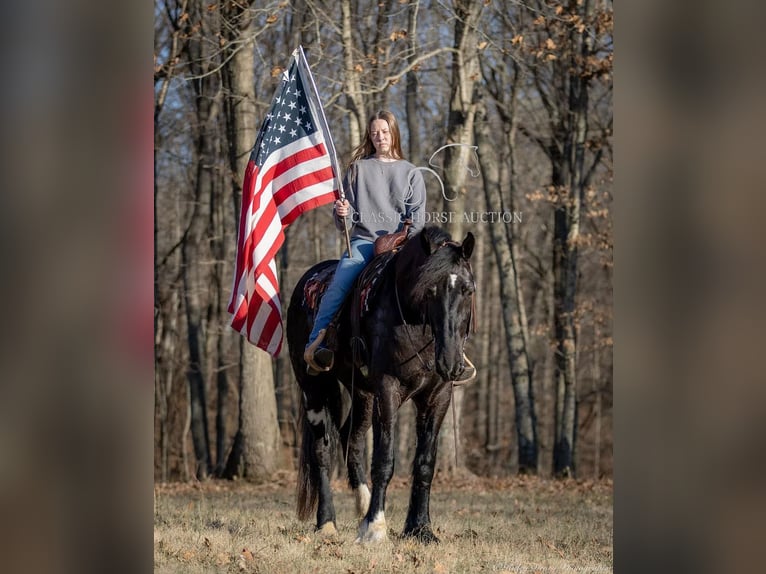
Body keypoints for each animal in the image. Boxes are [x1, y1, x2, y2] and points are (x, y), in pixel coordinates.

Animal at [288, 228, 476, 544]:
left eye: (468, 290)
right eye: (429, 289)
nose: (450, 362)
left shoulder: (438, 396)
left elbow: (425, 463)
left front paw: (420, 528)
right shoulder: (388, 390)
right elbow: (384, 459)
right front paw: (375, 526)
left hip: (362, 394)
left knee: (350, 438)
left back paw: (362, 503)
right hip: (314, 388)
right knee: (322, 450)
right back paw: (327, 522)